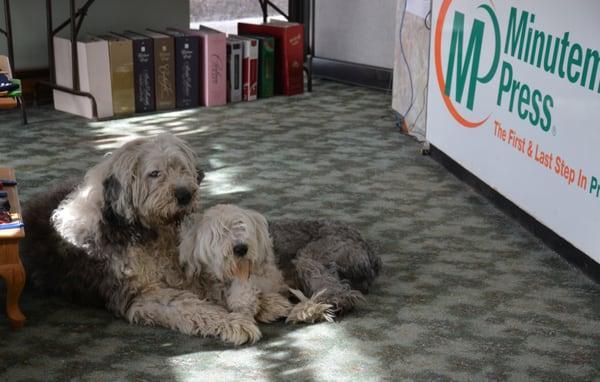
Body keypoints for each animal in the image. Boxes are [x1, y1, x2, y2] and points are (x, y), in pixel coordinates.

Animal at [22, 134, 262, 346]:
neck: (148, 232)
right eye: (154, 173)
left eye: (182, 168)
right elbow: (188, 305)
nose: (185, 195)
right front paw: (232, 322)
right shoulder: (139, 294)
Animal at [178, 204, 338, 332]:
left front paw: (244, 303)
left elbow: (247, 283)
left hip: (309, 259)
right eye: (221, 232)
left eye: (242, 226)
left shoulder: (270, 275)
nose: (241, 248)